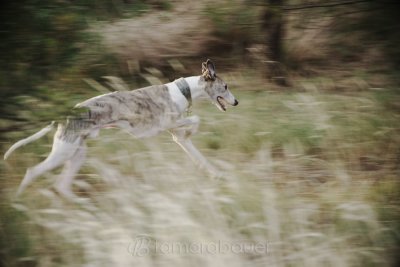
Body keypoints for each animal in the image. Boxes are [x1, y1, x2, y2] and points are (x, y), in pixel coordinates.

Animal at [3, 60, 238, 199]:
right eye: (225, 86)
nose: (236, 102)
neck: (183, 90)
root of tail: (66, 114)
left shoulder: (178, 138)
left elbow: (200, 157)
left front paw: (217, 176)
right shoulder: (167, 124)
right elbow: (196, 120)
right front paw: (194, 130)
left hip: (77, 154)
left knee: (62, 185)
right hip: (63, 152)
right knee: (33, 172)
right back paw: (18, 200)